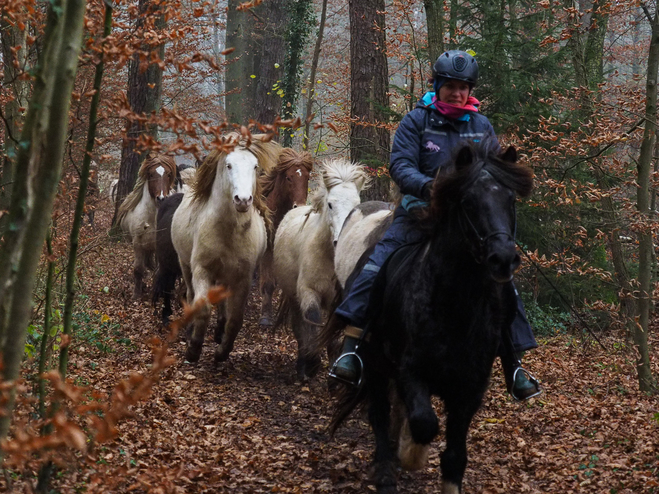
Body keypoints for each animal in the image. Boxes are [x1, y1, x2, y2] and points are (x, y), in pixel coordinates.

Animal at [116, 154, 177, 300]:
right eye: (150, 174)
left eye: (168, 174)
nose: (161, 198)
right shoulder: (138, 244)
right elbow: (138, 269)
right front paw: (136, 295)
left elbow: (159, 270)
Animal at [258, 149, 314, 330]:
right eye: (289, 177)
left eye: (307, 177)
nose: (299, 206)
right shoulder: (268, 250)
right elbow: (268, 283)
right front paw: (266, 317)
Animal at [270, 158, 368, 378]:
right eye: (330, 204)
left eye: (356, 205)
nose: (340, 241)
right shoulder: (308, 292)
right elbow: (311, 324)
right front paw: (311, 363)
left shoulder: (338, 300)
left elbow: (334, 336)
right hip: (293, 296)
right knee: (299, 326)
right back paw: (302, 364)